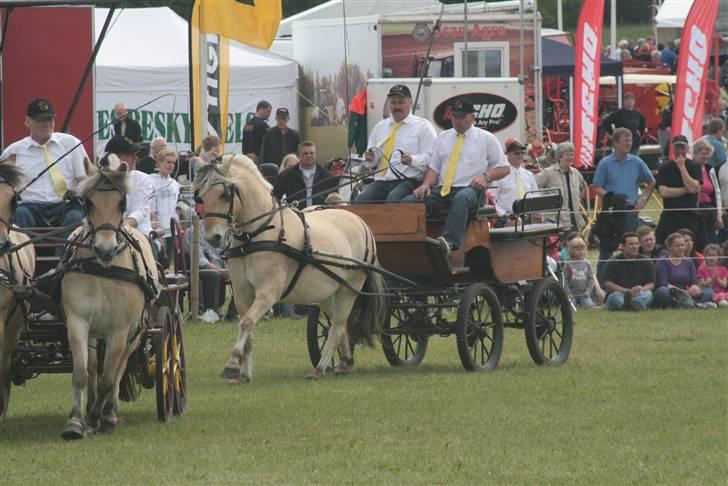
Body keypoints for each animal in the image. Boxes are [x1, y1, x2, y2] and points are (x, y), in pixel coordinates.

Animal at [61, 157, 161, 440]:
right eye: (89, 201)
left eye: (121, 202)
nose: (105, 249)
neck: (103, 269)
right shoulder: (78, 321)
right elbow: (82, 373)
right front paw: (76, 421)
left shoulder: (120, 330)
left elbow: (109, 378)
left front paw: (98, 416)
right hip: (97, 332)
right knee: (95, 366)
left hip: (135, 334)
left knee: (117, 370)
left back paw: (109, 414)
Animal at [192, 154, 386, 382]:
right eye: (201, 197)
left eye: (224, 194)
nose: (213, 238)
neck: (258, 234)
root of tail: (360, 222)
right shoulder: (242, 293)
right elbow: (249, 328)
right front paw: (244, 374)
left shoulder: (268, 292)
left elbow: (246, 323)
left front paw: (231, 365)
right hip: (330, 293)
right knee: (342, 325)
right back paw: (344, 362)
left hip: (349, 290)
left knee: (336, 328)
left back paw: (319, 369)